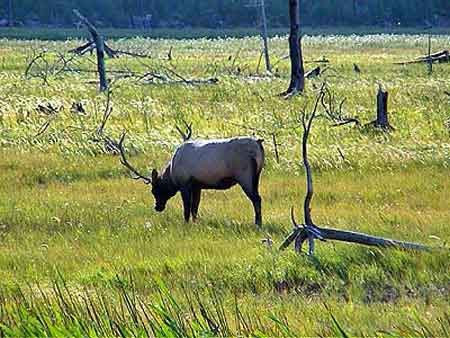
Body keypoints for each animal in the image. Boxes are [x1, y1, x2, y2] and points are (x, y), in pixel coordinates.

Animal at [114, 123, 266, 226]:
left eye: (155, 190)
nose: (157, 207)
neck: (172, 173)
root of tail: (258, 144)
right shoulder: (197, 185)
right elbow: (195, 208)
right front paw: (195, 223)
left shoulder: (185, 184)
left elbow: (187, 207)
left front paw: (186, 224)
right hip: (256, 176)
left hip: (245, 175)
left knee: (256, 198)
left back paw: (258, 223)